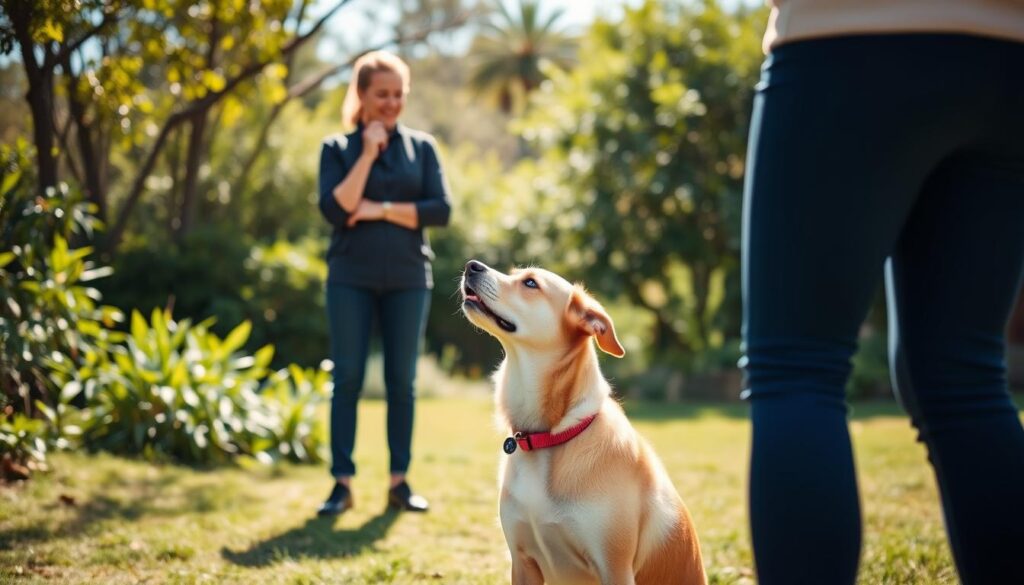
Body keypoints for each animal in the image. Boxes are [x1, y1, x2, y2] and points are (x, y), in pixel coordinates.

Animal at [462, 261, 708, 585]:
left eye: (530, 283)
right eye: (514, 273)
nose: (472, 266)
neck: (551, 436)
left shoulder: (614, 567)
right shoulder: (522, 562)